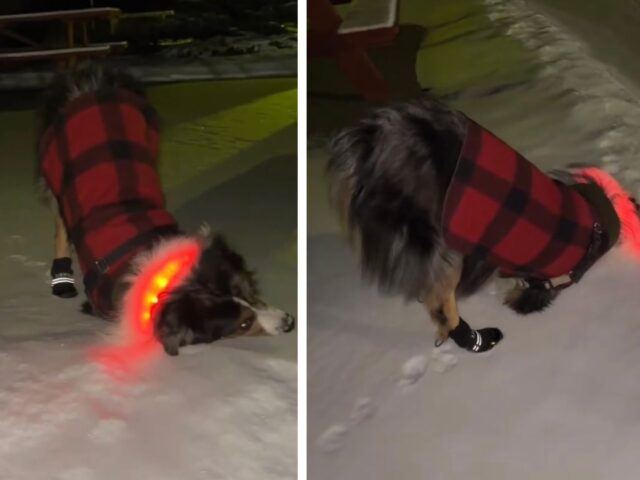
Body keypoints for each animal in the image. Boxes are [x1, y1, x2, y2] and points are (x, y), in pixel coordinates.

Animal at [35, 62, 296, 356]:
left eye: (250, 291)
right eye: (243, 324)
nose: (290, 323)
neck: (165, 277)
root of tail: (90, 84)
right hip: (54, 172)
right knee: (60, 222)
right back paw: (62, 276)